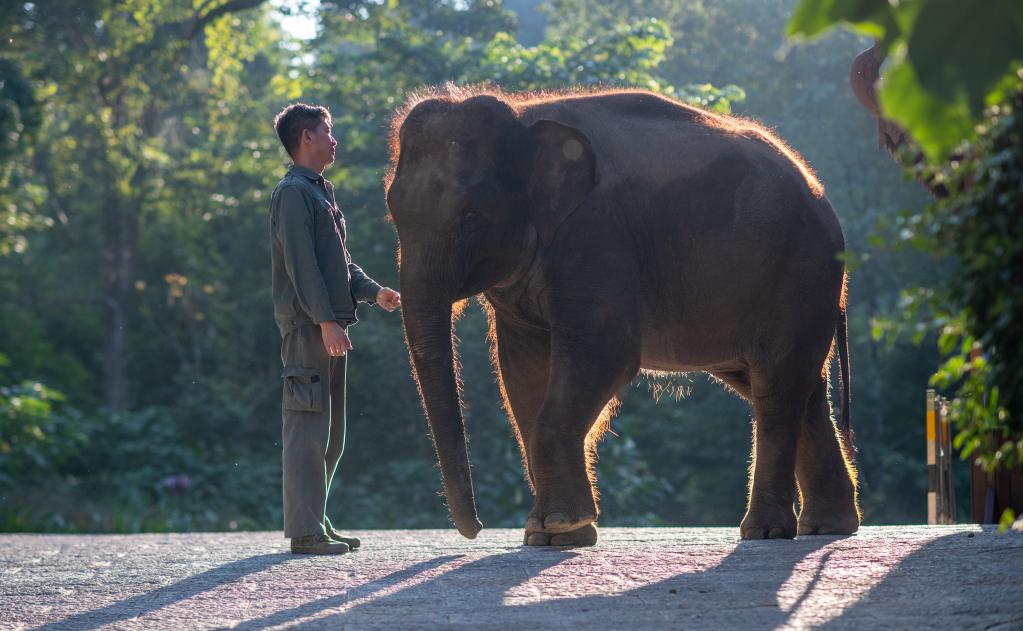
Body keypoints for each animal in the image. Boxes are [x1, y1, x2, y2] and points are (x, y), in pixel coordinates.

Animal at [386, 85, 859, 544]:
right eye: (394, 213)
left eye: (472, 215)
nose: (475, 528)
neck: (523, 117)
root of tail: (819, 191)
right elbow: (522, 371)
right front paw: (555, 536)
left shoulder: (597, 234)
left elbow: (604, 354)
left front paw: (558, 526)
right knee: (795, 388)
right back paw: (827, 527)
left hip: (800, 274)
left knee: (776, 388)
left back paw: (765, 532)